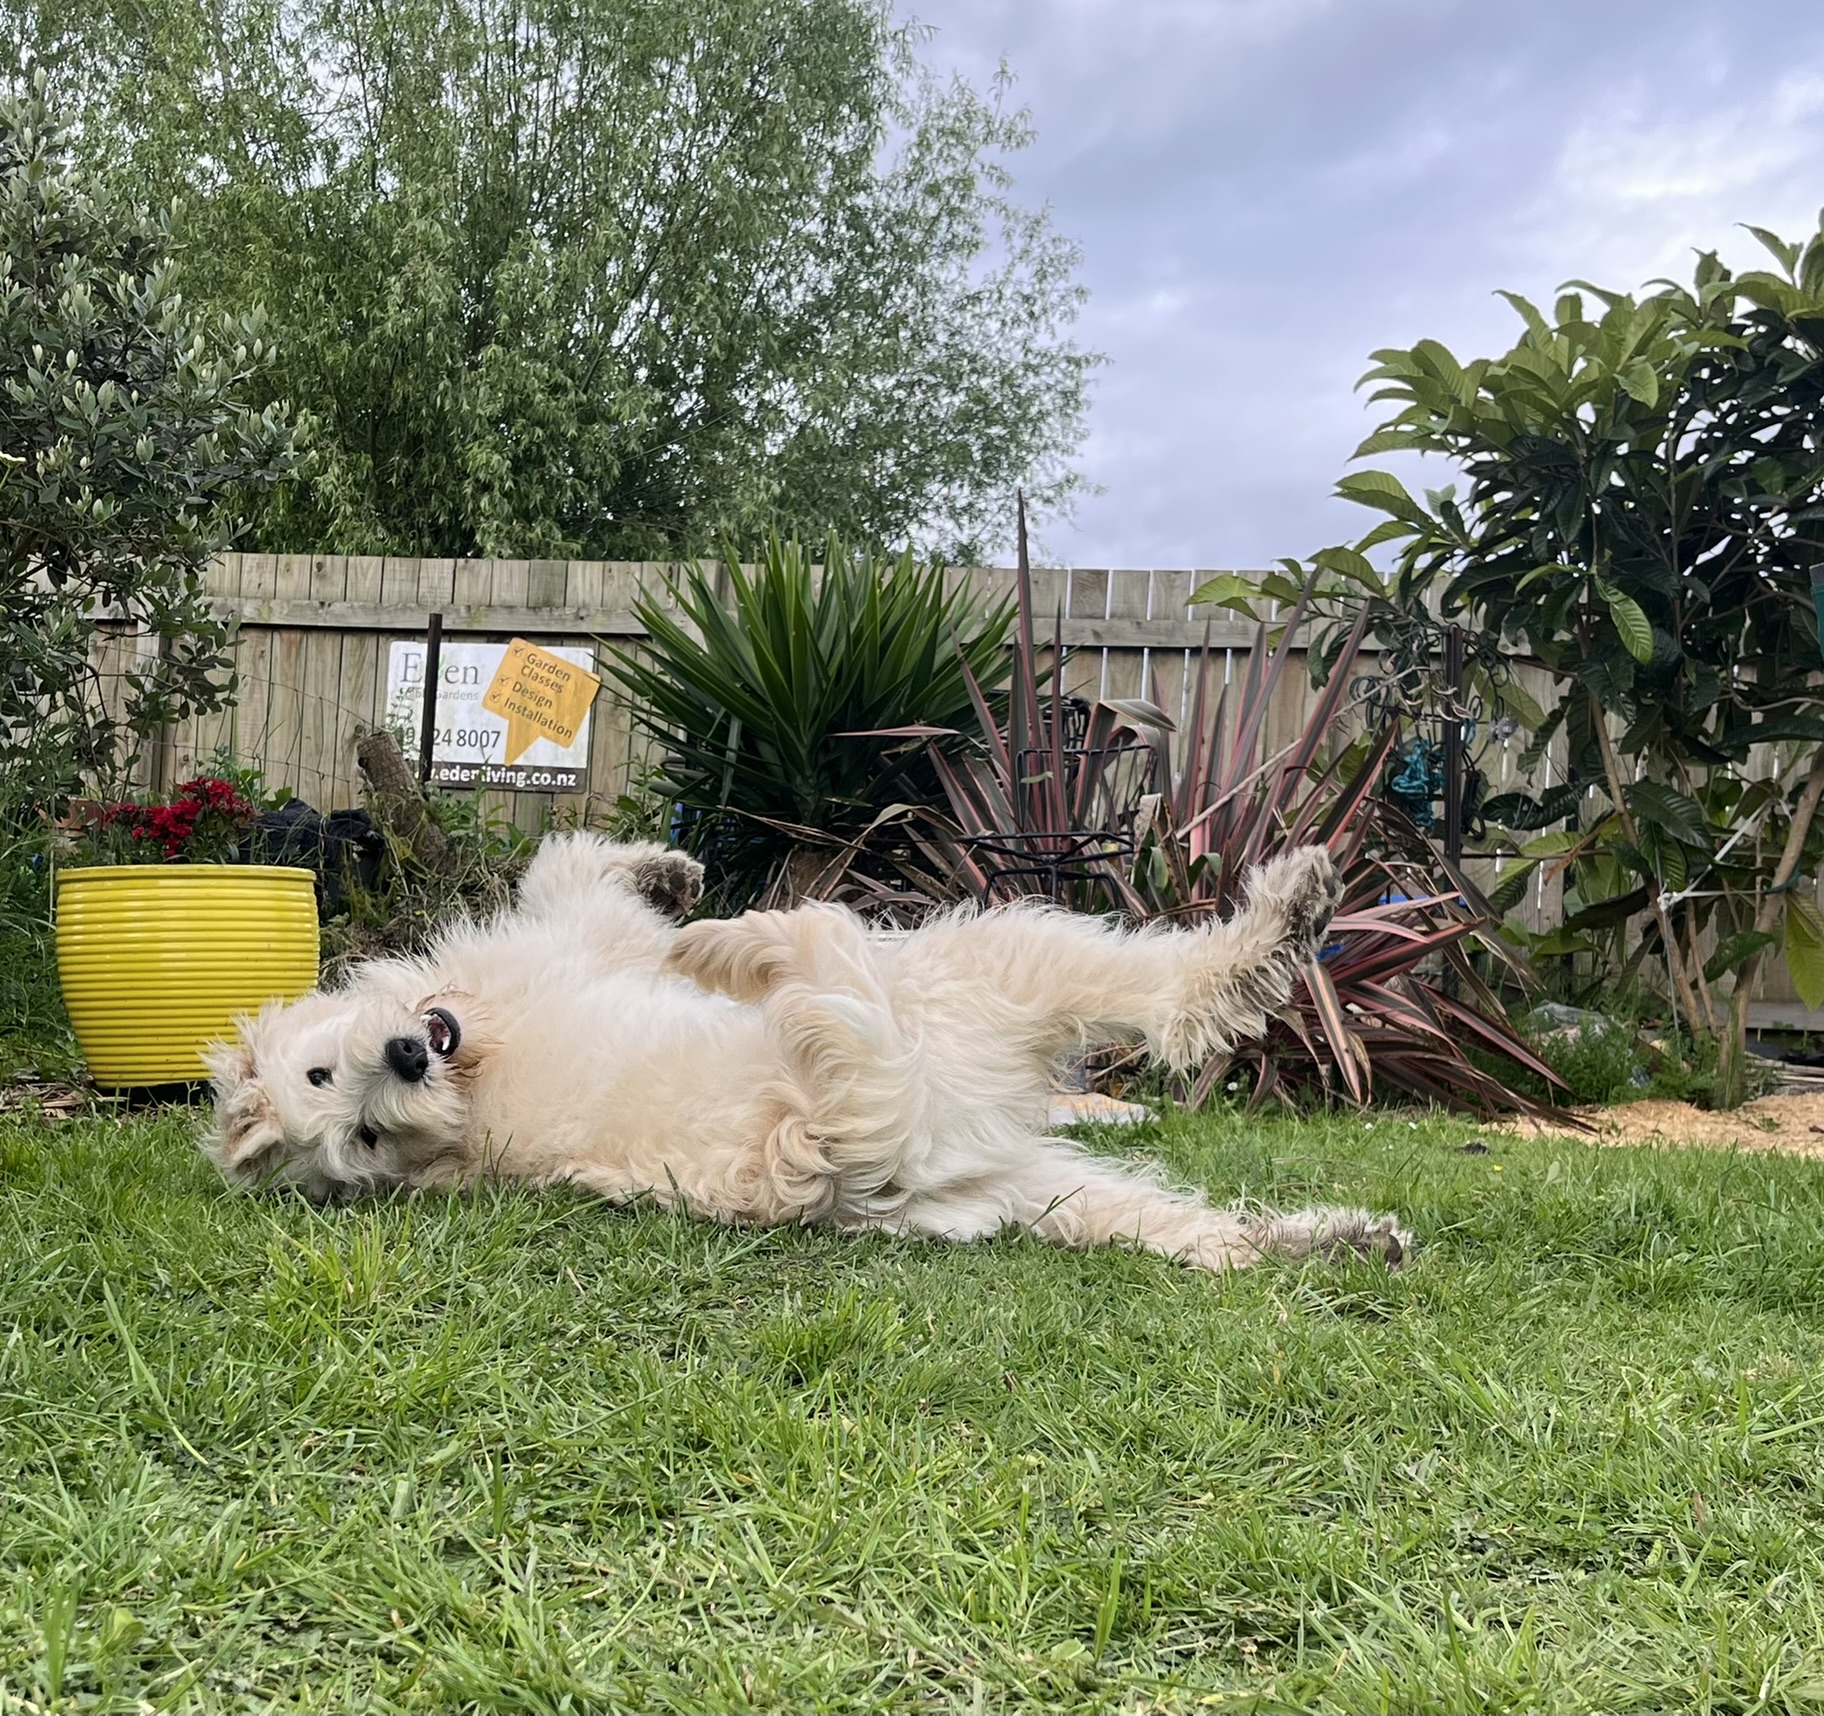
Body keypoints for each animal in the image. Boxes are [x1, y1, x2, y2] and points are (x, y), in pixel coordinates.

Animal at [207, 831, 1415, 1269]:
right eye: (359, 1131)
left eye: (325, 1078)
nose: (407, 1062)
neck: (474, 1066)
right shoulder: (572, 935)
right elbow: (570, 863)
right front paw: (682, 891)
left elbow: (573, 857)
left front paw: (672, 869)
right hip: (974, 986)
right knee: (1175, 998)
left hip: (1034, 1155)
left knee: (1209, 1222)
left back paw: (1335, 1240)